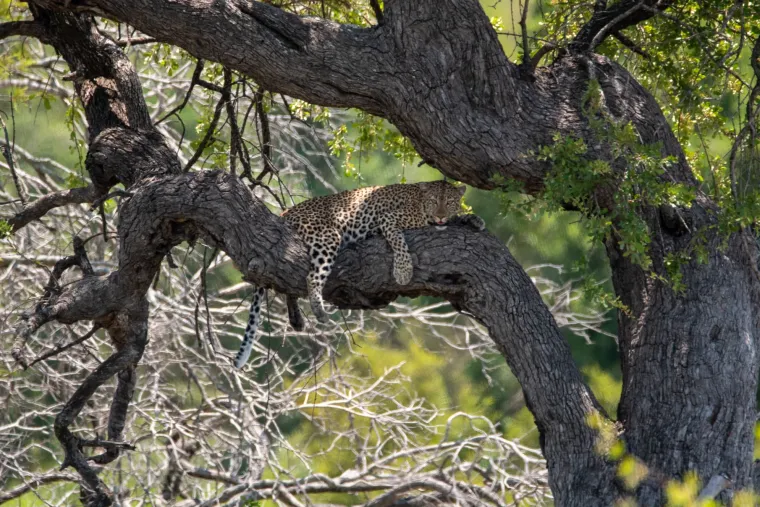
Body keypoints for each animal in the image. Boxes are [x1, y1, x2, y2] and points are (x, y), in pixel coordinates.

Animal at [234, 180, 485, 368]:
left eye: (449, 203)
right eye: (433, 202)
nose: (441, 217)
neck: (422, 207)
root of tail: (285, 213)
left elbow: (458, 218)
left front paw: (473, 219)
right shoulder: (389, 220)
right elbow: (399, 242)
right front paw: (403, 271)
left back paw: (296, 319)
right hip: (328, 236)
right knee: (309, 277)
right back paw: (319, 310)